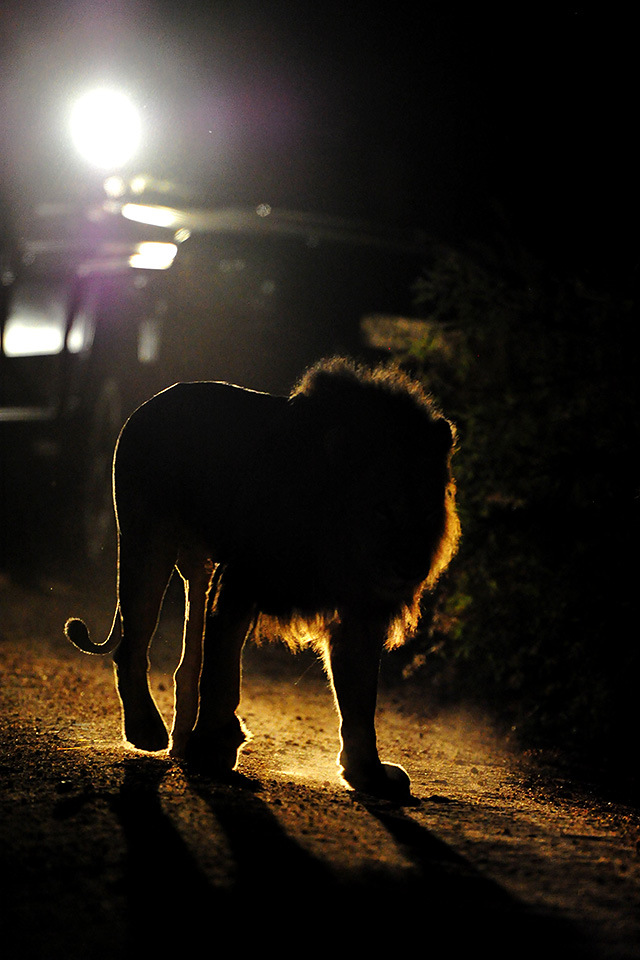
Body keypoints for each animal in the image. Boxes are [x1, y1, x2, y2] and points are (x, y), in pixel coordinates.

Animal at [65, 357, 460, 800]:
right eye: (382, 510)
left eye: (427, 512)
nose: (410, 568)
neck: (338, 544)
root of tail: (158, 398)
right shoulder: (238, 581)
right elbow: (221, 678)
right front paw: (213, 748)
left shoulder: (361, 613)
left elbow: (360, 701)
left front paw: (367, 774)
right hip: (147, 545)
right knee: (131, 647)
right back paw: (147, 731)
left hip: (196, 568)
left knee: (186, 665)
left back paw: (180, 742)